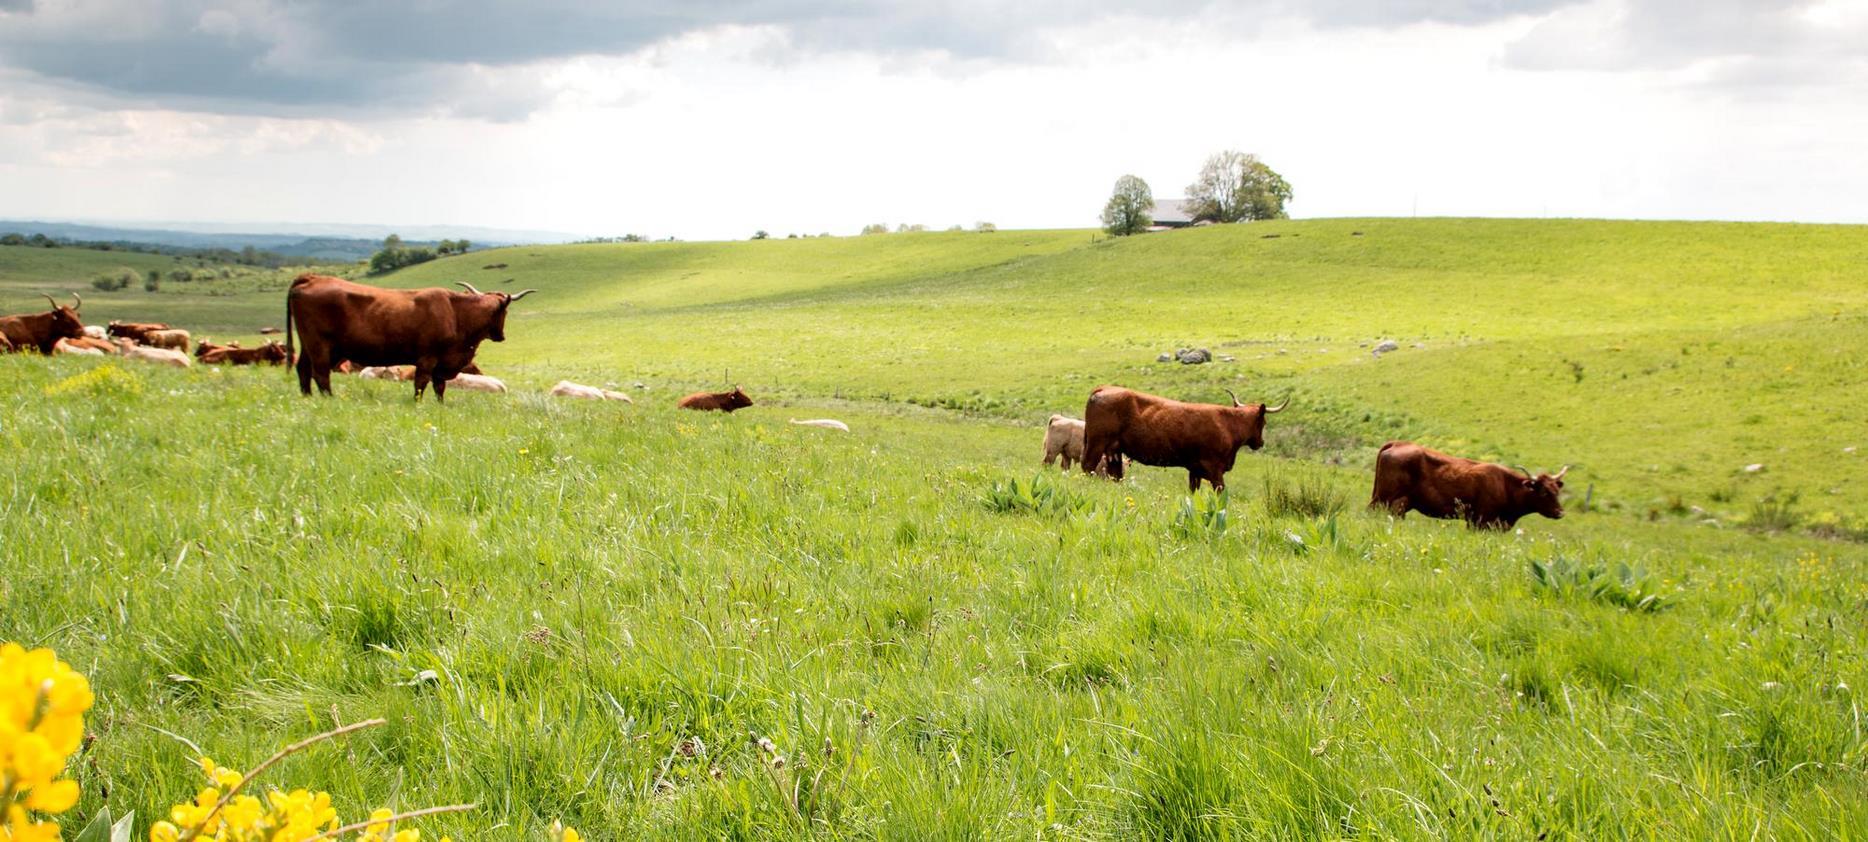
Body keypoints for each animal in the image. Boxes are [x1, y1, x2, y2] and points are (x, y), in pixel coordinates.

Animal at [282, 272, 534, 401]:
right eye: (505, 312)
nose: (501, 336)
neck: (456, 312)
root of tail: (311, 278)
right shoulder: (428, 358)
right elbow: (421, 384)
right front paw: (418, 404)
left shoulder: (441, 364)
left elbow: (439, 387)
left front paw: (440, 405)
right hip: (321, 345)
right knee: (320, 373)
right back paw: (329, 399)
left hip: (309, 344)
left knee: (303, 369)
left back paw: (307, 397)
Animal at [1083, 384, 1285, 492]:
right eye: (1264, 422)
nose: (1261, 442)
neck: (1228, 424)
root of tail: (1104, 388)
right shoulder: (1214, 469)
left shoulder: (1194, 469)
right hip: (1096, 444)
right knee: (1088, 467)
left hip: (1113, 451)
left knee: (1114, 474)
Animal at [1367, 438, 1569, 530]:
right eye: (1543, 492)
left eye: (1556, 491)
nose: (1560, 513)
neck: (1505, 485)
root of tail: (1397, 443)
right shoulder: (1479, 521)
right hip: (1384, 498)